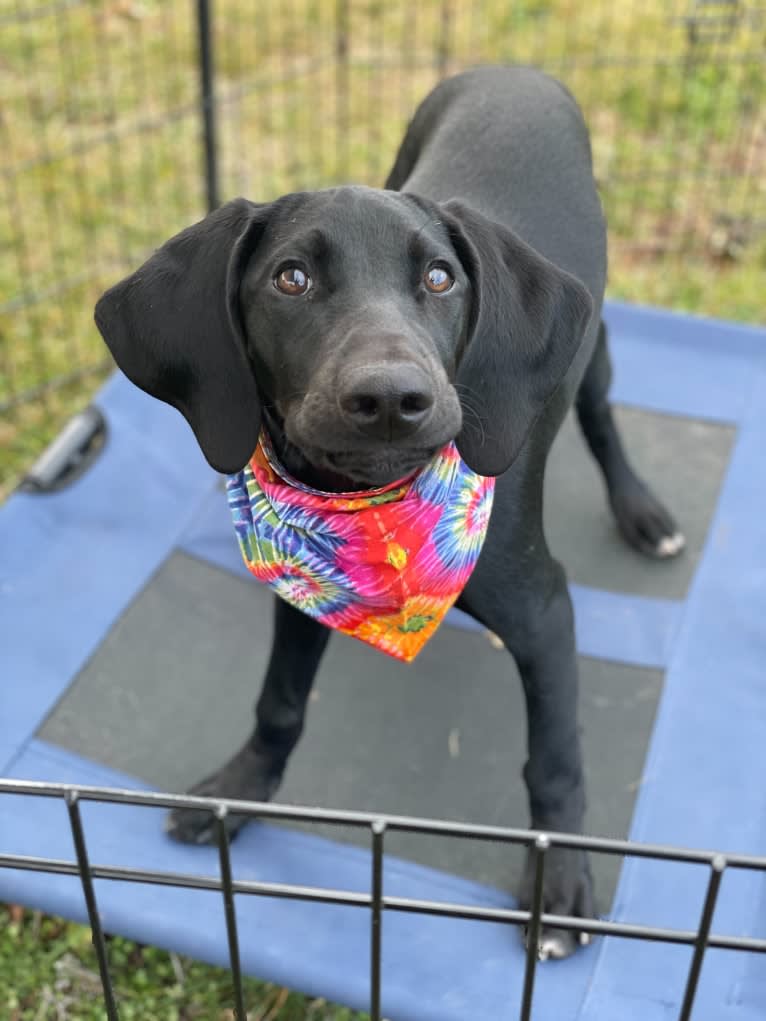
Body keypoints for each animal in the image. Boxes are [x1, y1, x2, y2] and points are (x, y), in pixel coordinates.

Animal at [94, 65, 682, 955]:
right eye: (290, 278)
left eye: (440, 277)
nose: (391, 398)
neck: (375, 504)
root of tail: (512, 69)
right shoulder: (304, 590)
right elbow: (279, 703)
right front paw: (241, 786)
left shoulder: (545, 610)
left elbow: (554, 758)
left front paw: (558, 883)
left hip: (595, 346)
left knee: (601, 410)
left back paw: (643, 510)